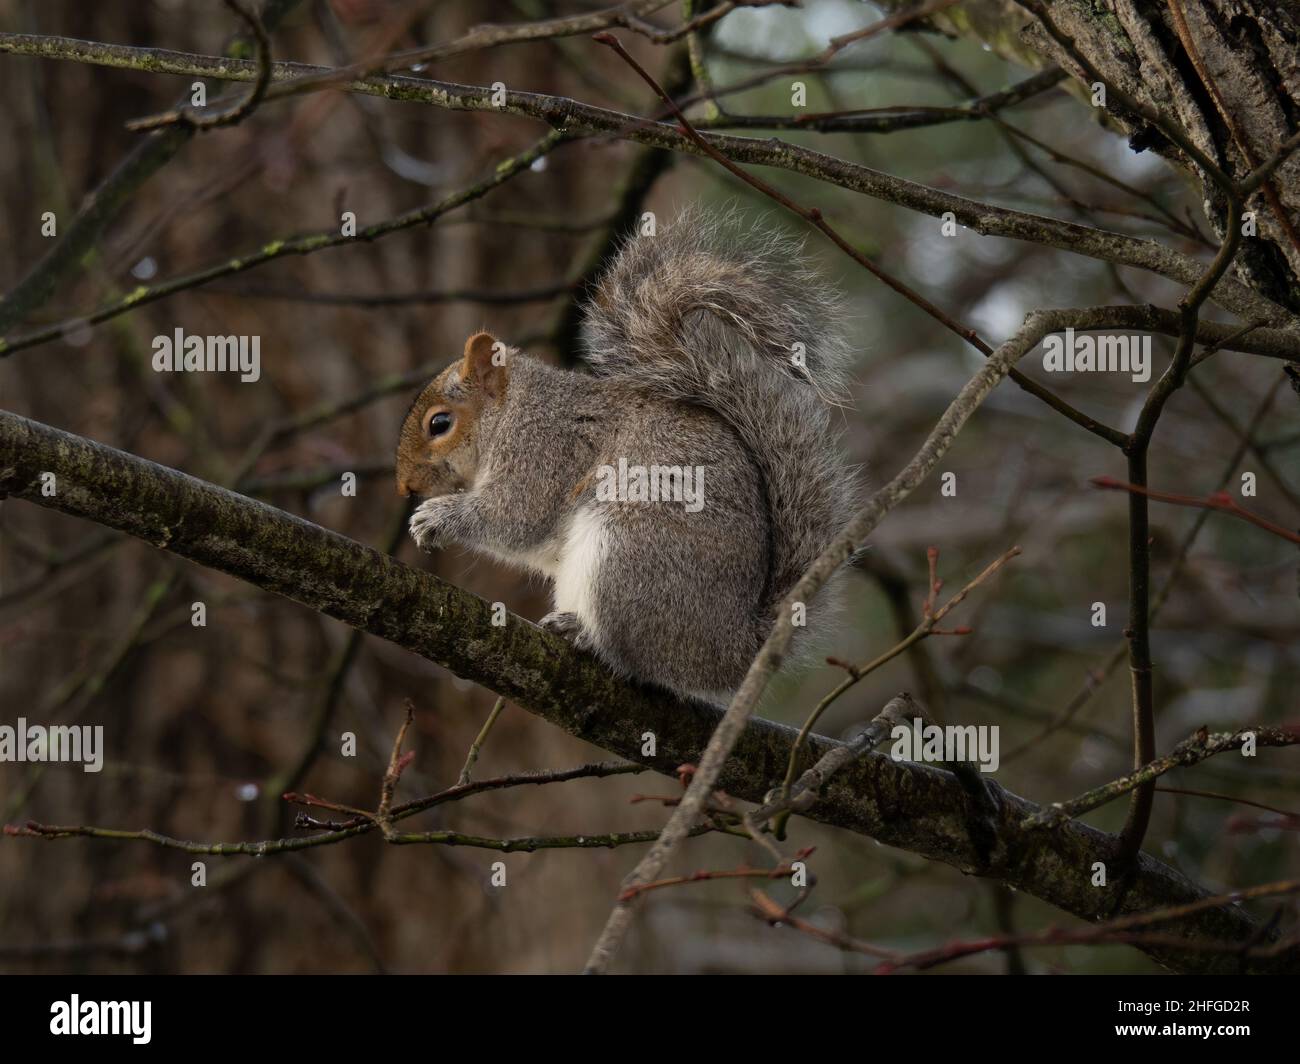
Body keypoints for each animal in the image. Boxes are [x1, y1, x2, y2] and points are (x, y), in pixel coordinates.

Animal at [400, 210, 857, 702]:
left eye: (439, 424)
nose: (406, 487)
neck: (510, 411)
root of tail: (735, 652)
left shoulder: (542, 448)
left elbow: (516, 516)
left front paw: (437, 517)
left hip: (631, 553)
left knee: (639, 658)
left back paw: (588, 636)